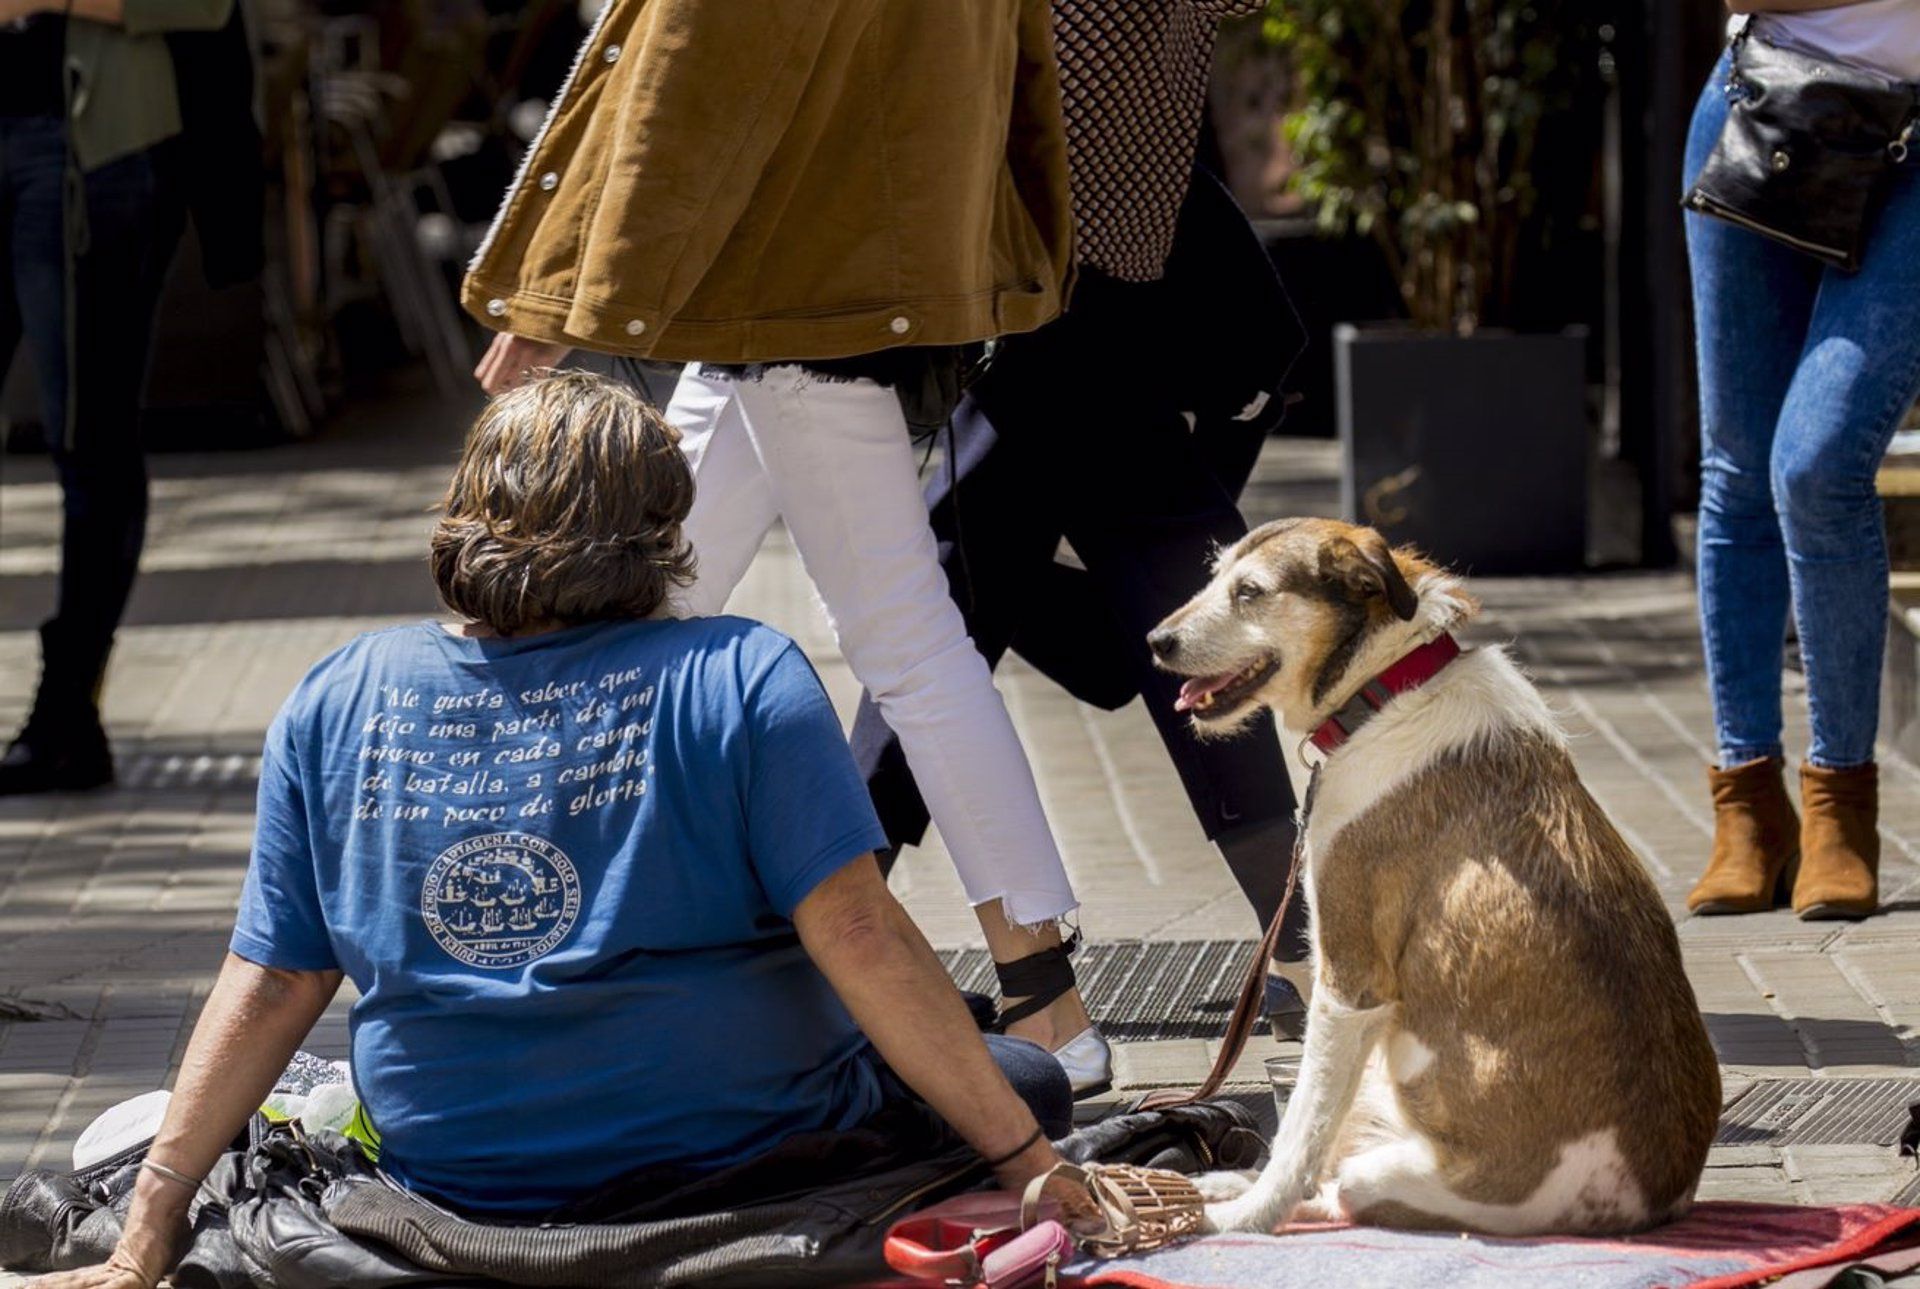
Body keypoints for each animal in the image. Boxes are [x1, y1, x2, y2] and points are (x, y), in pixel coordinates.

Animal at [1144, 522, 1720, 1237]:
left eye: (1249, 592)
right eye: (1215, 576)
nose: (1155, 642)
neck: (1387, 689)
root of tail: (1653, 1198)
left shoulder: (1349, 984)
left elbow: (1302, 1130)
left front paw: (1247, 1218)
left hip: (1389, 1174)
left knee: (1338, 1186)